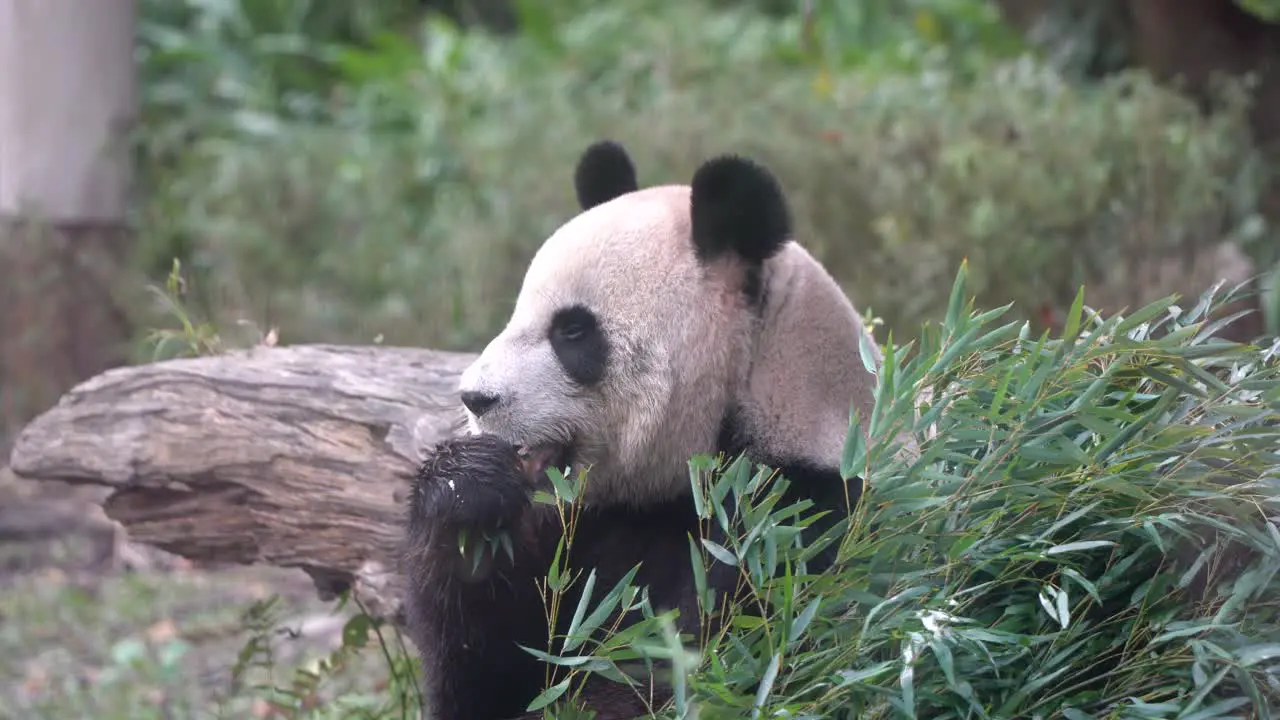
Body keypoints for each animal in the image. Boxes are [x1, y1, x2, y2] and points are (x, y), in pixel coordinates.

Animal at [404, 140, 885, 717]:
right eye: (517, 313)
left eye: (572, 330)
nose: (476, 397)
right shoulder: (582, 529)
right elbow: (487, 667)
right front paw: (467, 486)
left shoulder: (795, 529)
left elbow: (704, 668)